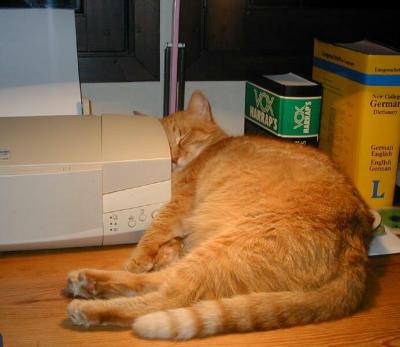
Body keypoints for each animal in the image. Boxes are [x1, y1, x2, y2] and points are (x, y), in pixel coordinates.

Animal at [64, 89, 374, 340]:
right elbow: (164, 248)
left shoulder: (178, 207)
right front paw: (162, 254)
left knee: (168, 296)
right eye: (164, 145)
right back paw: (86, 282)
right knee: (161, 283)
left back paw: (88, 307)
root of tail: (358, 249)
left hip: (223, 248)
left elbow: (152, 234)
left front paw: (140, 258)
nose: (172, 159)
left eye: (182, 137)